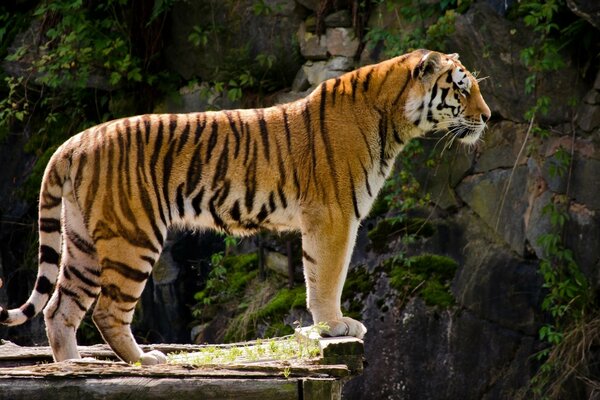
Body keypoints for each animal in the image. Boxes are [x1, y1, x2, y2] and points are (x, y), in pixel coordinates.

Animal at [0, 48, 488, 364]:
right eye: (461, 89)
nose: (487, 117)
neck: (394, 119)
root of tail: (73, 142)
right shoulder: (333, 215)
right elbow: (326, 277)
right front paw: (335, 325)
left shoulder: (330, 218)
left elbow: (318, 275)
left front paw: (328, 324)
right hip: (132, 236)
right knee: (105, 310)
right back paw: (147, 360)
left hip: (82, 241)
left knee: (58, 309)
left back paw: (73, 366)